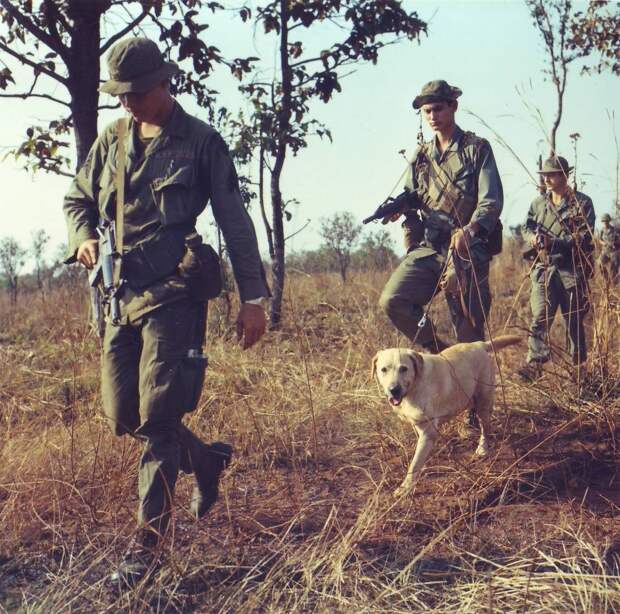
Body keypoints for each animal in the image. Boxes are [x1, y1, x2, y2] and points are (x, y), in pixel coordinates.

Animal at [370, 336, 520, 500]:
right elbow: (419, 455)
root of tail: (479, 344)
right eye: (383, 369)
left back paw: (483, 448)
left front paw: (406, 487)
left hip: (483, 402)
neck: (415, 385)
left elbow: (415, 463)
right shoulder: (420, 427)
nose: (394, 390)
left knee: (486, 428)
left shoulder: (428, 431)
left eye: (404, 368)